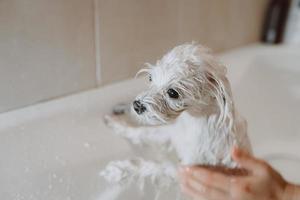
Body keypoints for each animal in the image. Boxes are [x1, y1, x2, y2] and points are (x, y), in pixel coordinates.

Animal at [100, 43, 251, 199]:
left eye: (173, 93)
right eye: (150, 78)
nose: (136, 106)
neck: (192, 121)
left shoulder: (187, 171)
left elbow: (153, 166)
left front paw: (118, 169)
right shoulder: (172, 134)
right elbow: (142, 133)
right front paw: (117, 124)